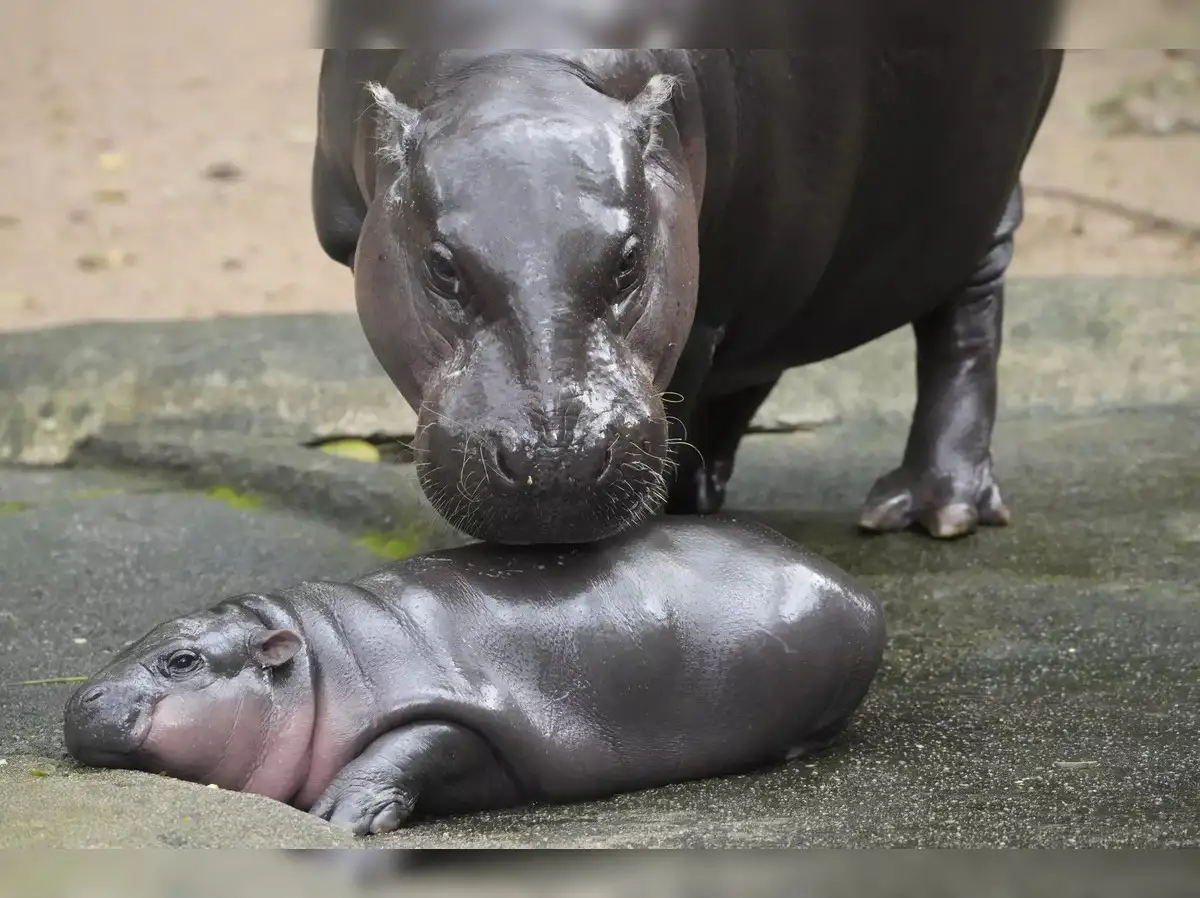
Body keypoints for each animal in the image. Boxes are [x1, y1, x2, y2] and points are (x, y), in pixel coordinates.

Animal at [63, 516, 885, 835]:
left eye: (182, 661)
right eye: (141, 636)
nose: (81, 699)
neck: (318, 664)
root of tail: (857, 587)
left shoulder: (461, 708)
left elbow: (414, 743)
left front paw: (340, 815)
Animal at [311, 38, 1064, 547]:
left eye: (628, 262)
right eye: (442, 267)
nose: (554, 460)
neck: (521, 73)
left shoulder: (708, 295)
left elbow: (686, 388)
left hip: (974, 194)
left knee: (966, 320)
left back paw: (934, 510)